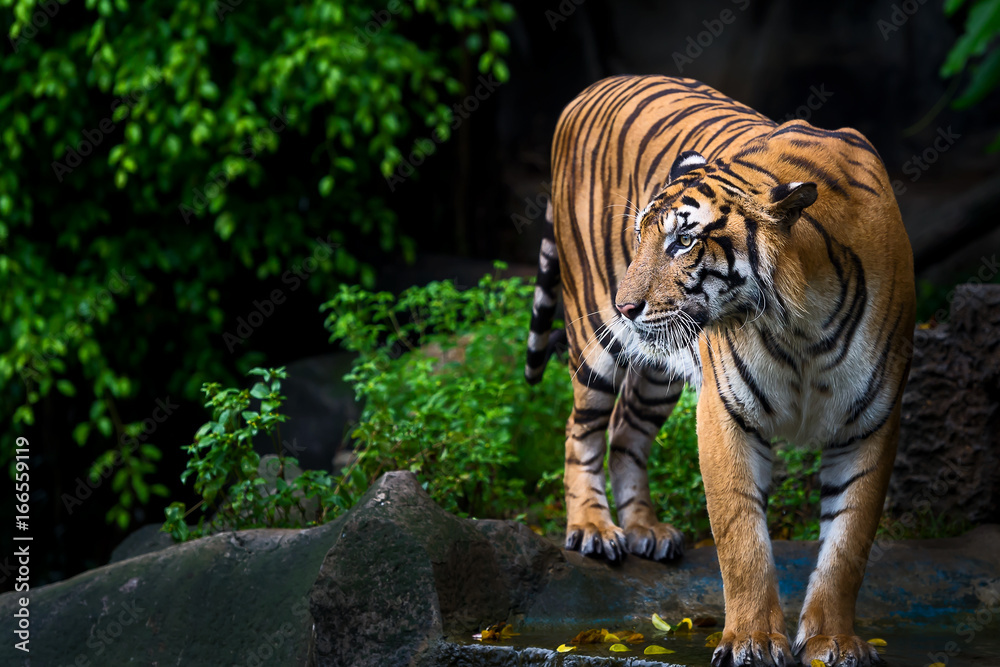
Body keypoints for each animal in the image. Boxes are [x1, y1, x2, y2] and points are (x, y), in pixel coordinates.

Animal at [524, 75, 915, 667]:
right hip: (593, 337)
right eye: (639, 235)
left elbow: (848, 543)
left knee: (627, 430)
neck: (802, 323)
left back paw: (644, 529)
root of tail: (592, 87)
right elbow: (741, 536)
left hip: (658, 370)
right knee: (580, 429)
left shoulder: (870, 422)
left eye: (683, 241)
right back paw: (593, 528)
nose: (625, 307)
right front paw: (752, 641)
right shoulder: (727, 410)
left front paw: (833, 642)